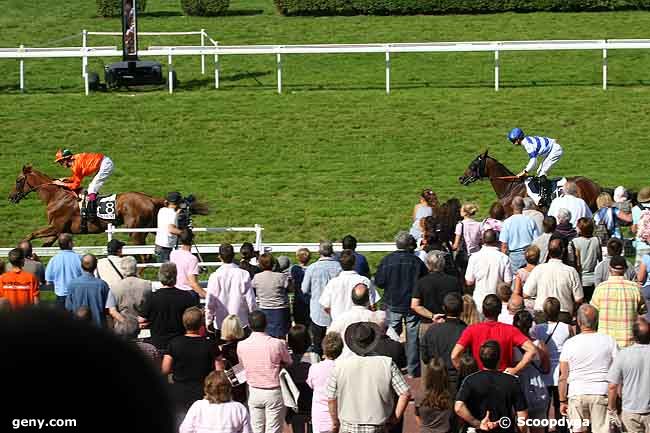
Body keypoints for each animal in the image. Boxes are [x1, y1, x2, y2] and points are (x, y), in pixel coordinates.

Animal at [7, 165, 209, 245]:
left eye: (18, 180)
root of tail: (150, 198)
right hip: (150, 227)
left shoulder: (56, 226)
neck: (57, 196)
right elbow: (47, 243)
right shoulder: (60, 230)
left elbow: (31, 234)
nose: (11, 197)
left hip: (135, 231)